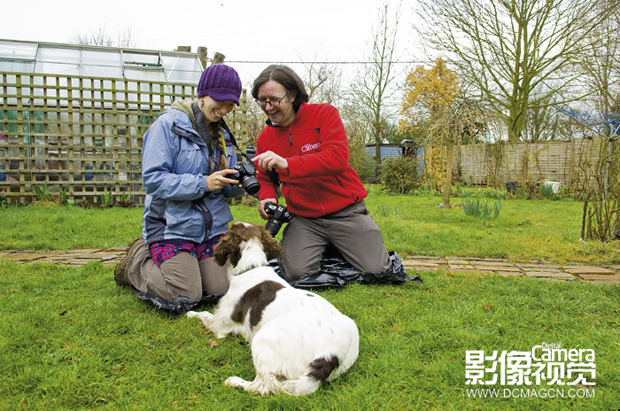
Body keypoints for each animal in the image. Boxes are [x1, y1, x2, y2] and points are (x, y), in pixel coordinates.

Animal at [185, 224, 358, 398]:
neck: (251, 267)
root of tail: (329, 353)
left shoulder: (220, 325)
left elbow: (204, 314)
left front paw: (190, 313)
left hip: (262, 338)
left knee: (263, 385)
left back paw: (235, 382)